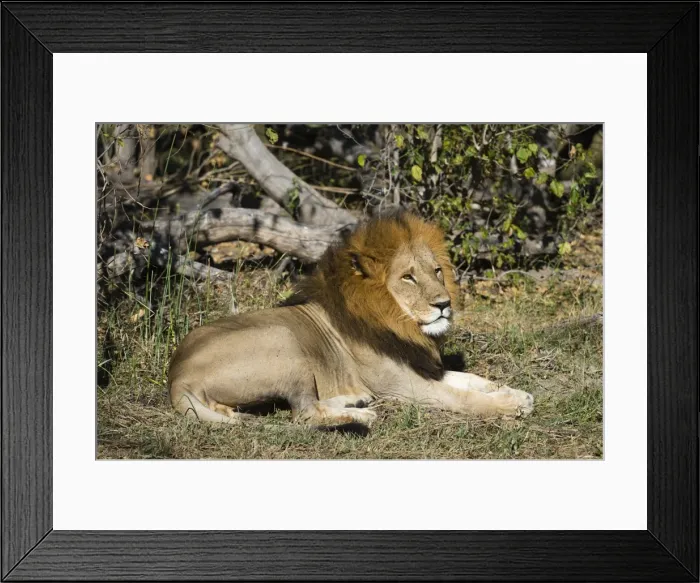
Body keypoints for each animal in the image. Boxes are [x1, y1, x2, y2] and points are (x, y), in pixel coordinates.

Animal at [168, 211, 534, 428]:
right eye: (408, 277)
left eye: (437, 271)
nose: (444, 304)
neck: (400, 324)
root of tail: (176, 376)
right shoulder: (405, 386)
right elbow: (464, 397)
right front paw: (507, 406)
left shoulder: (421, 368)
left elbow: (472, 379)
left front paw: (513, 392)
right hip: (283, 338)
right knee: (303, 413)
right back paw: (363, 414)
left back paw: (355, 399)